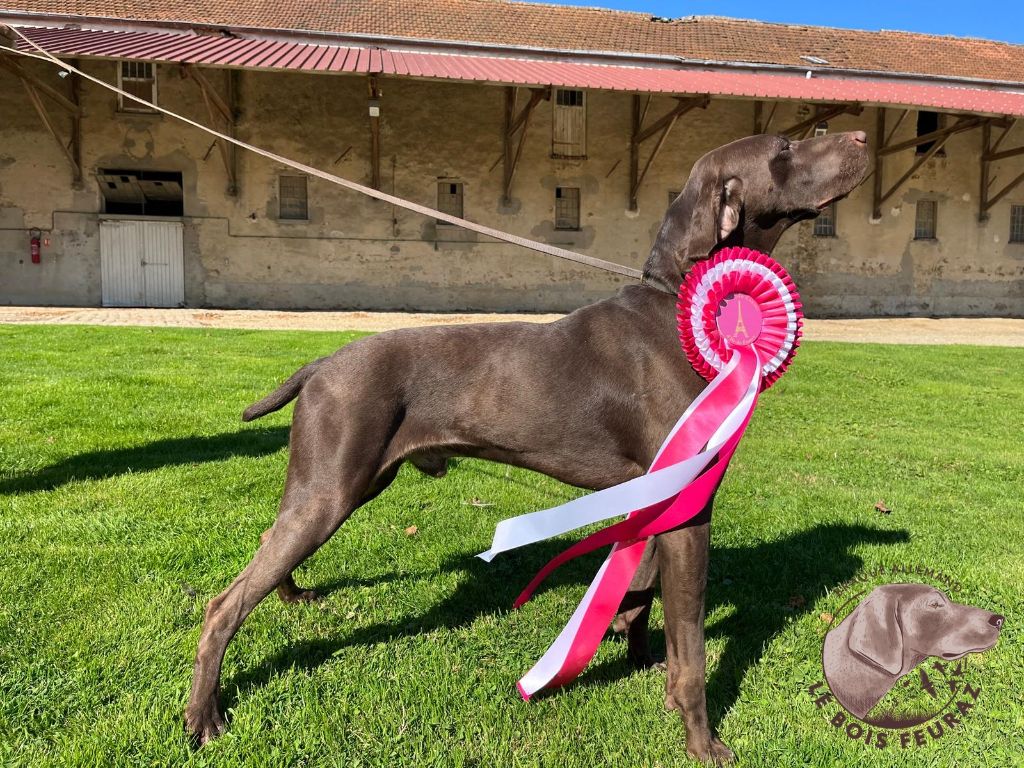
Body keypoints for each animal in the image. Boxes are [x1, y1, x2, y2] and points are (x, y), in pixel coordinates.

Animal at [188, 129, 868, 761]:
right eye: (787, 146)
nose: (863, 137)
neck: (676, 309)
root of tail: (320, 365)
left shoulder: (657, 498)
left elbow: (641, 591)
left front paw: (636, 654)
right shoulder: (689, 508)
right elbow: (693, 648)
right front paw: (703, 741)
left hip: (331, 486)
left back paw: (289, 598)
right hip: (330, 490)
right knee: (223, 605)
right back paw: (205, 716)